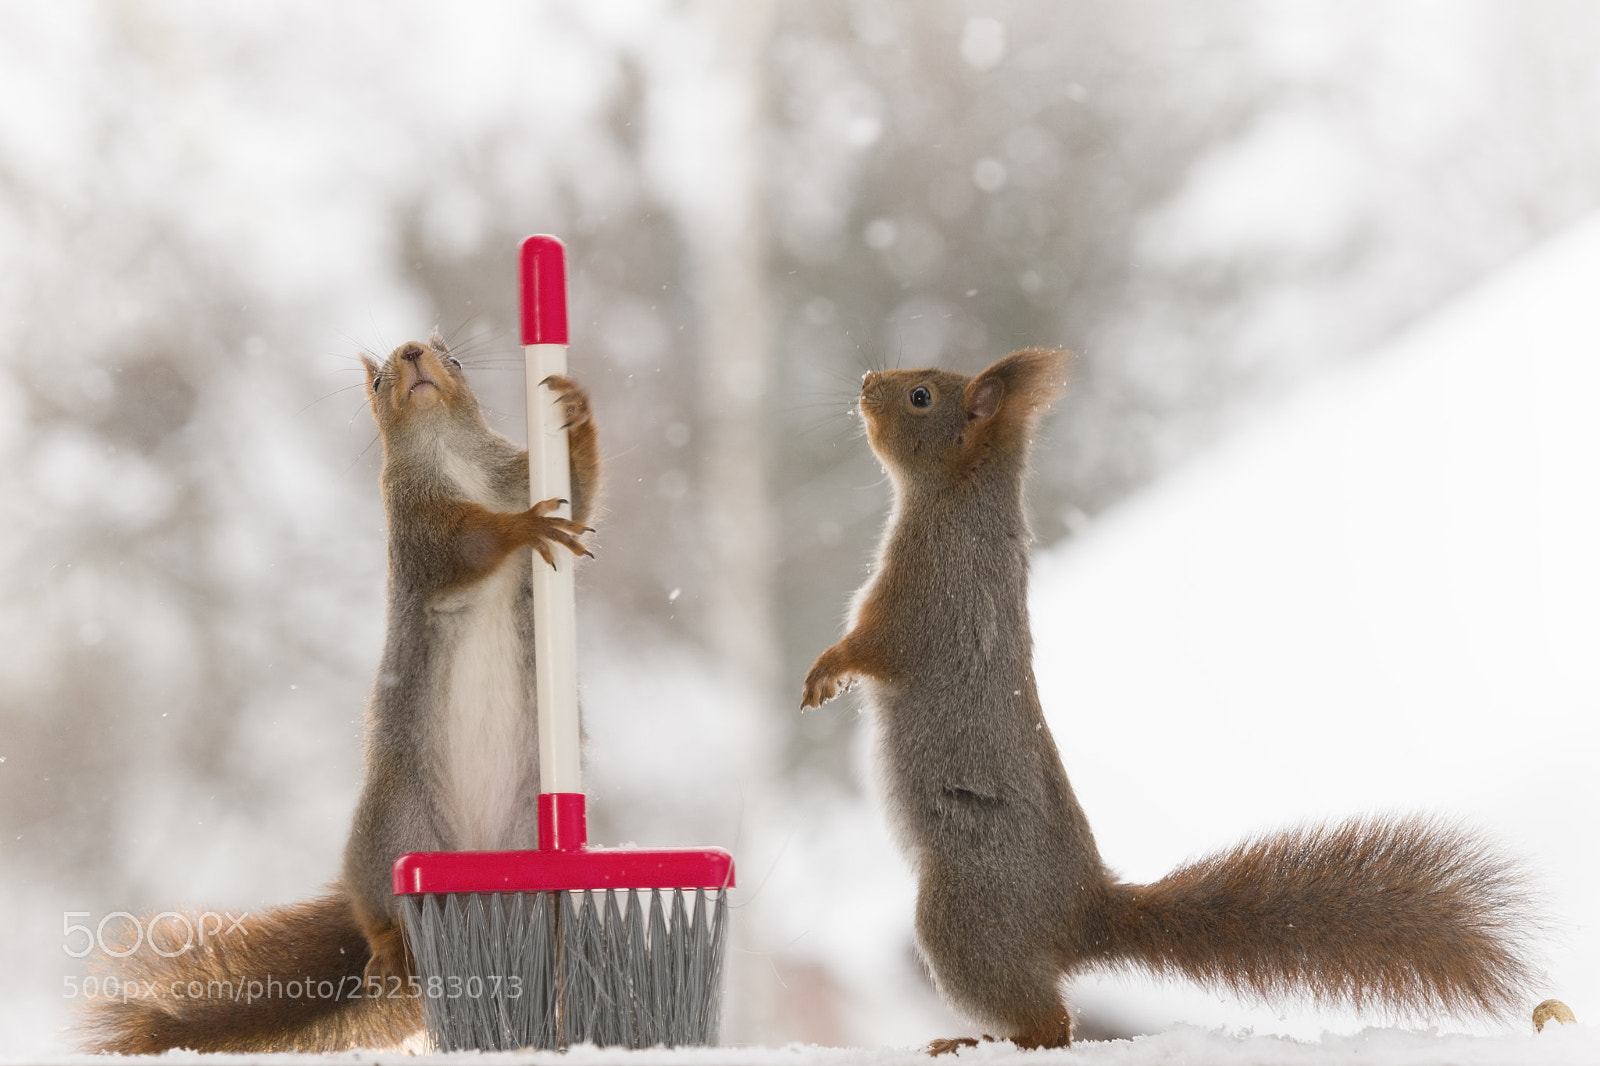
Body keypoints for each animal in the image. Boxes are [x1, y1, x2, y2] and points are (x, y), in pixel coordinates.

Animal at [81, 335, 598, 1054]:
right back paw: (388, 951)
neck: (448, 450)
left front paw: (576, 411)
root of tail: (480, 860)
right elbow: (466, 544)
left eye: (454, 358)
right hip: (388, 832)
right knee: (372, 906)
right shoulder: (412, 524)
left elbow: (579, 490)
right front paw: (521, 527)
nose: (411, 351)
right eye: (378, 382)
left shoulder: (520, 473)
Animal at [801, 347, 1539, 1053]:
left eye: (921, 396)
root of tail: (1083, 915)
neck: (954, 503)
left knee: (1050, 1025)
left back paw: (971, 1039)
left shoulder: (924, 597)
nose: (865, 383)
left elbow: (874, 646)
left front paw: (824, 673)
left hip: (964, 917)